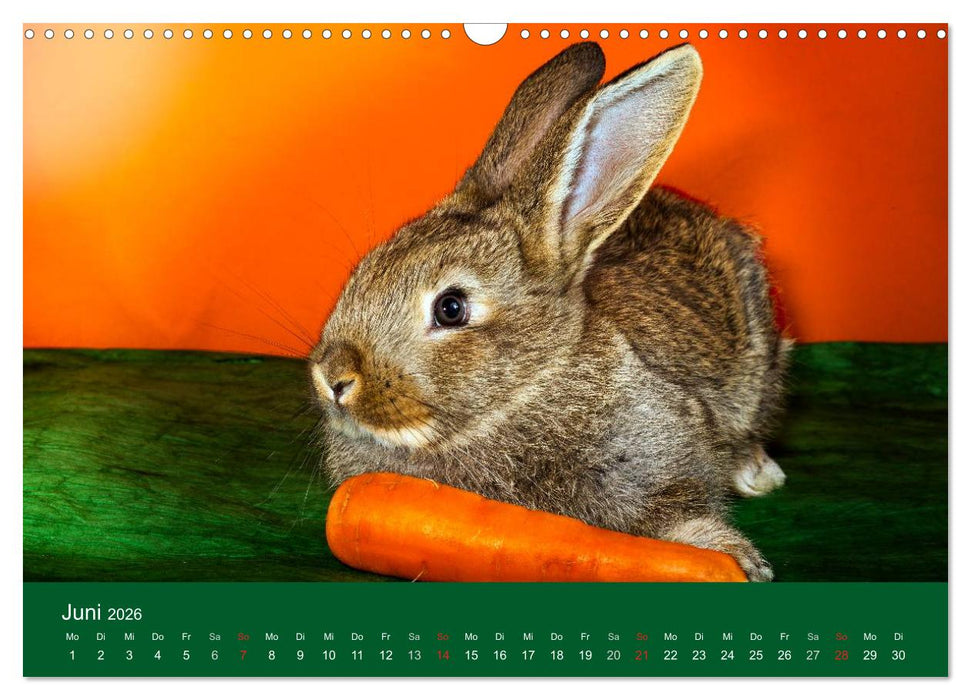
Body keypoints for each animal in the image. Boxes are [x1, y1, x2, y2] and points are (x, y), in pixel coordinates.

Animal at [308, 42, 791, 582]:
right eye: (363, 271)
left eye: (451, 309)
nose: (333, 377)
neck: (526, 391)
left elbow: (674, 513)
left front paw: (733, 557)